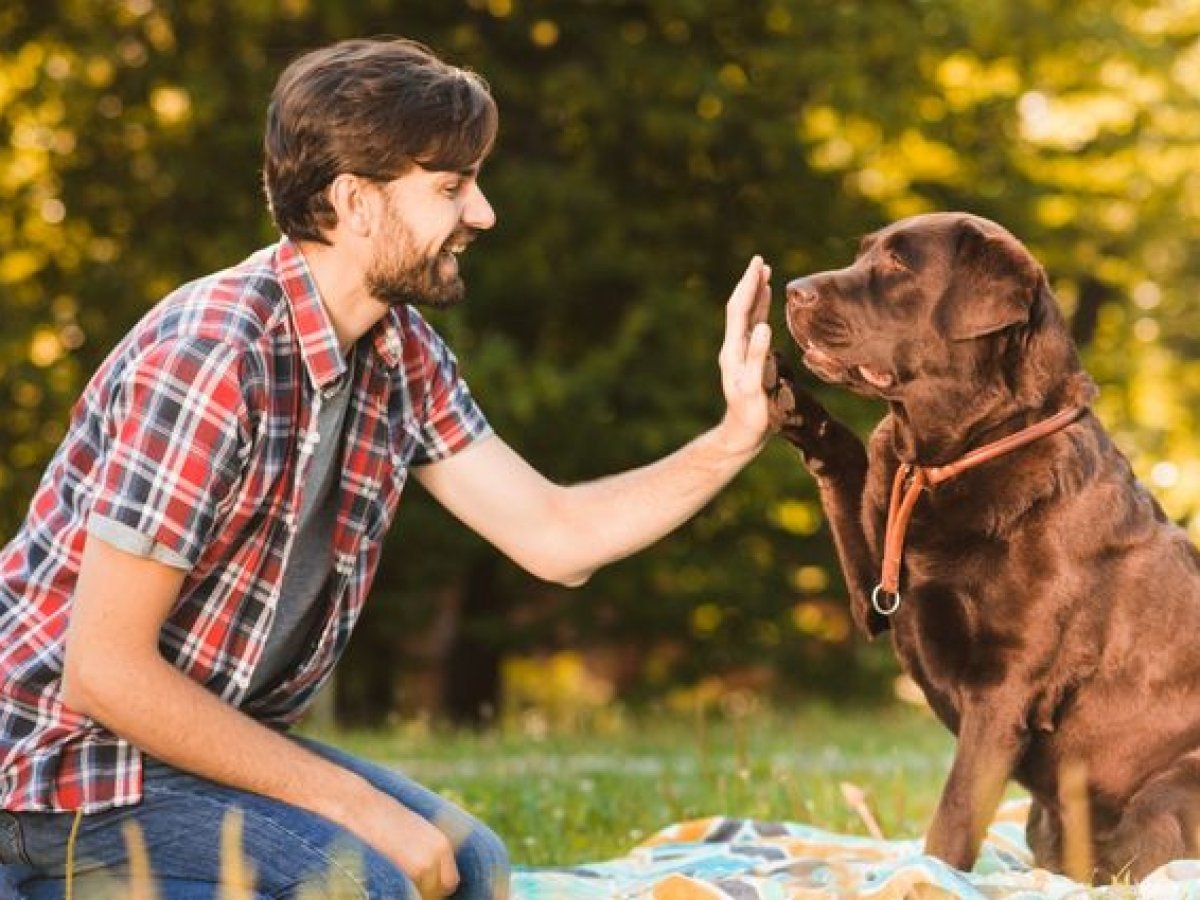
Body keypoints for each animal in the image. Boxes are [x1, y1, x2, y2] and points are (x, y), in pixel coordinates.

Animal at [772, 211, 1200, 883]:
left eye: (897, 264)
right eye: (864, 253)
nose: (792, 290)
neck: (945, 460)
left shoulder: (1005, 686)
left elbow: (952, 817)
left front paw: (923, 880)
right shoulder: (876, 594)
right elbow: (848, 464)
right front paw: (799, 408)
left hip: (1168, 793)